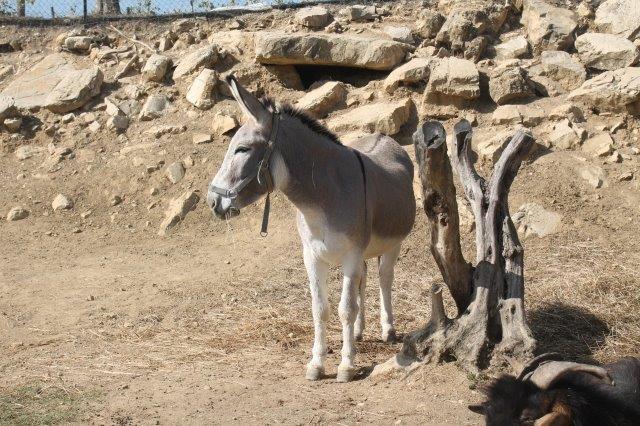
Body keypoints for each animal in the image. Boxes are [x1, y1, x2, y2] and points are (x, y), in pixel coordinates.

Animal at [207, 76, 416, 382]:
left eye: (242, 149)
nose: (212, 201)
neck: (321, 201)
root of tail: (384, 137)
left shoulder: (351, 254)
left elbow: (345, 309)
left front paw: (346, 365)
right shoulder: (313, 256)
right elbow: (320, 309)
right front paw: (317, 364)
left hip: (392, 243)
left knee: (384, 278)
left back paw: (387, 329)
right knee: (364, 280)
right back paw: (359, 332)